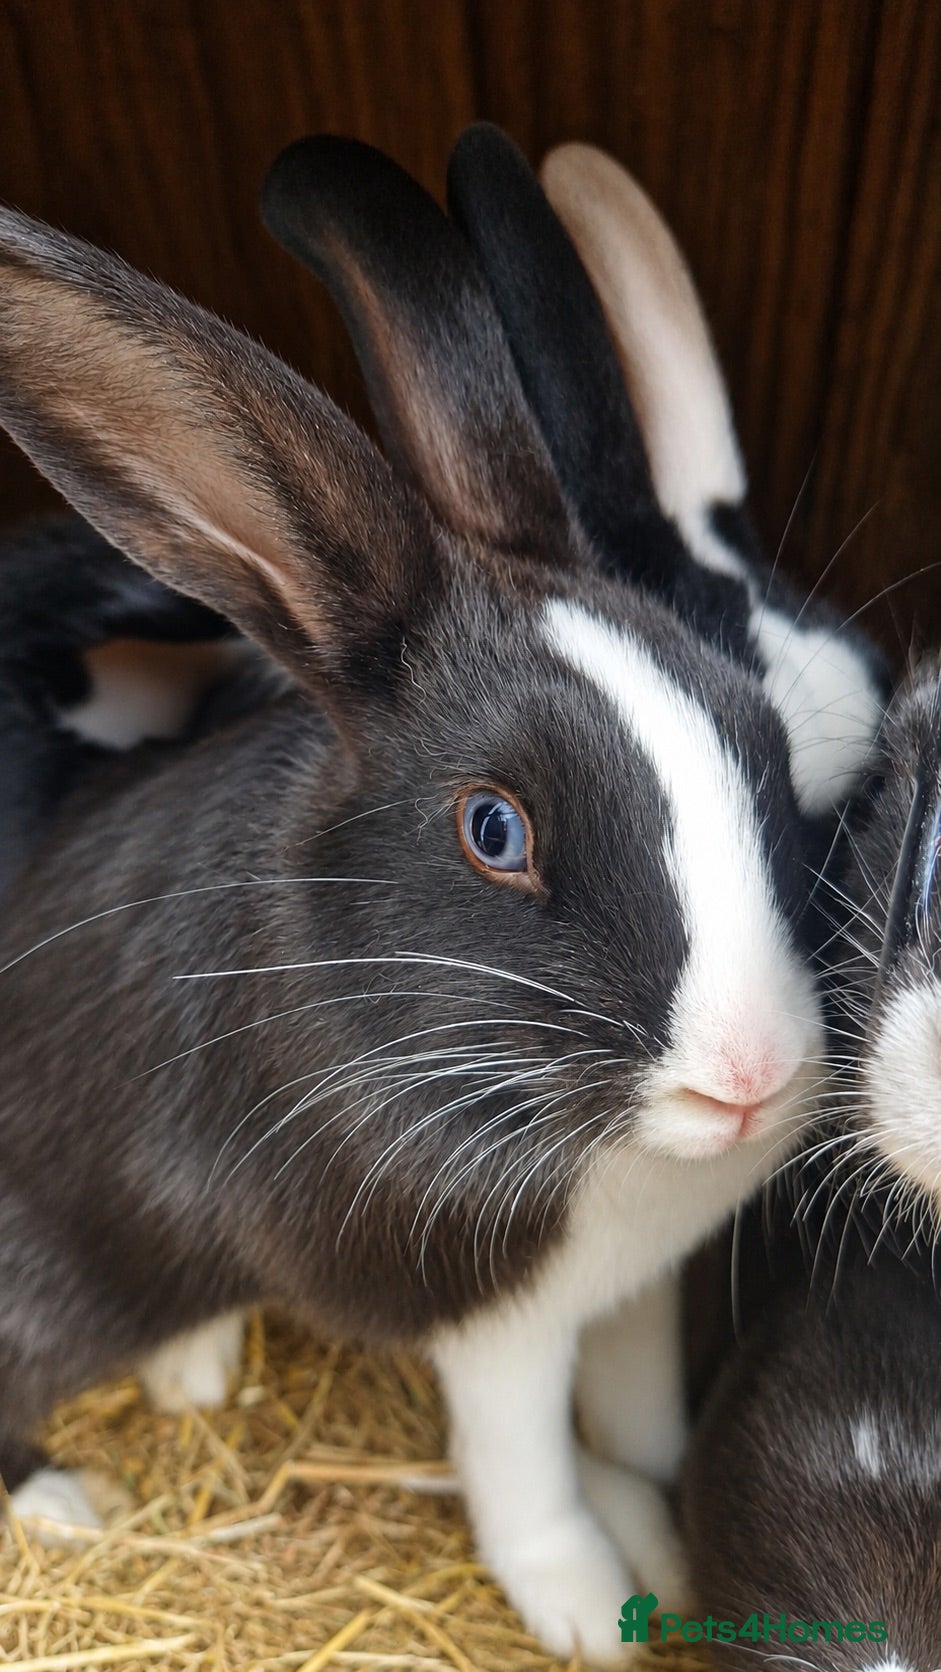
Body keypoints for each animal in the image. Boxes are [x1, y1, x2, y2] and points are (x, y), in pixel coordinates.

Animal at [0, 134, 830, 1666]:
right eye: (493, 830)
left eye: (763, 742)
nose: (749, 1076)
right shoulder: (491, 1313)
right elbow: (526, 1472)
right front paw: (591, 1608)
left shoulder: (634, 1290)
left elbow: (634, 1418)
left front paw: (662, 1531)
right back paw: (72, 1497)